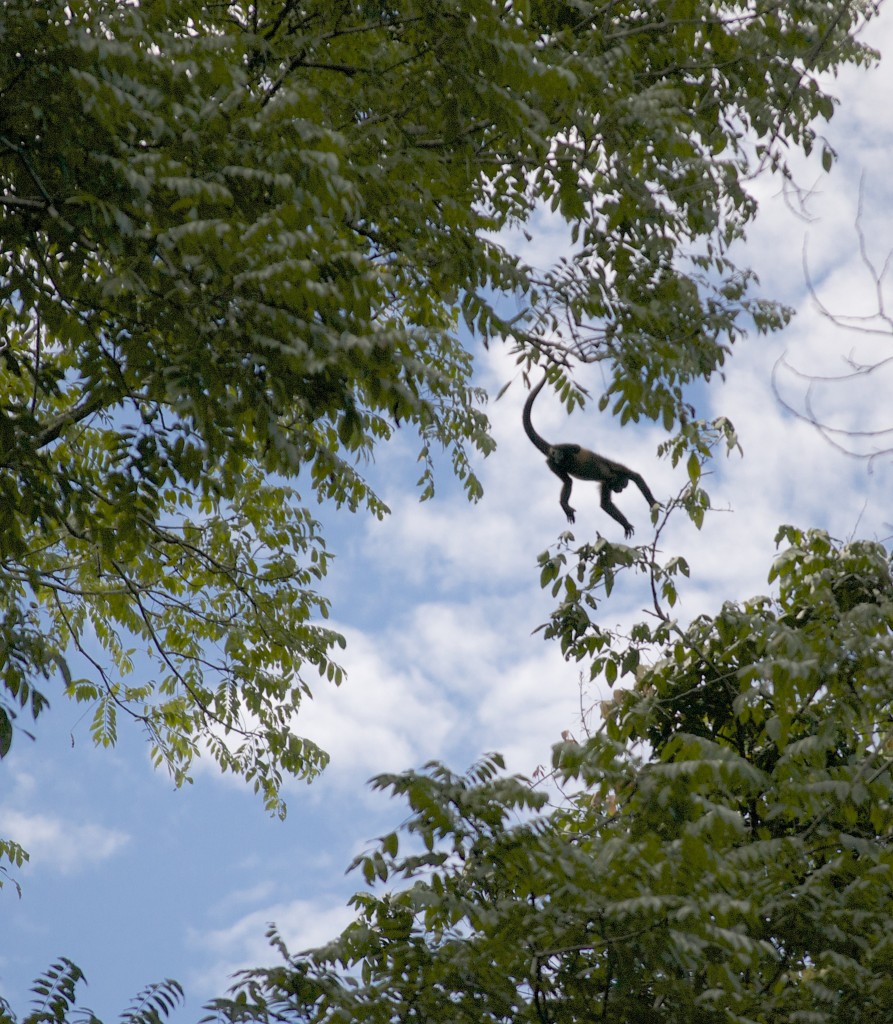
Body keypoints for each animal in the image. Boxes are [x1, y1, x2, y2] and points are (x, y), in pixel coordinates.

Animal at [520, 374, 659, 536]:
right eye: (622, 486)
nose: (619, 491)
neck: (613, 476)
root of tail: (550, 451)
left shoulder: (606, 483)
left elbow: (605, 504)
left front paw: (625, 524)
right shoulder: (617, 469)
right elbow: (636, 476)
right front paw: (653, 503)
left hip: (552, 465)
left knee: (568, 481)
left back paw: (564, 503)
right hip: (558, 456)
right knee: (575, 448)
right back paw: (559, 454)